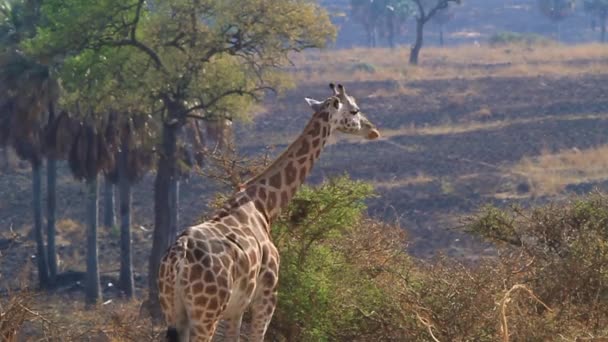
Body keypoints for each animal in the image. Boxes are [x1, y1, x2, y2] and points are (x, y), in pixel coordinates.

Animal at [159, 83, 380, 342]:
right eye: (355, 111)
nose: (373, 131)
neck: (265, 205)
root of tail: (178, 257)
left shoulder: (237, 306)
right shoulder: (267, 294)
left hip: (173, 311)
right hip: (206, 313)